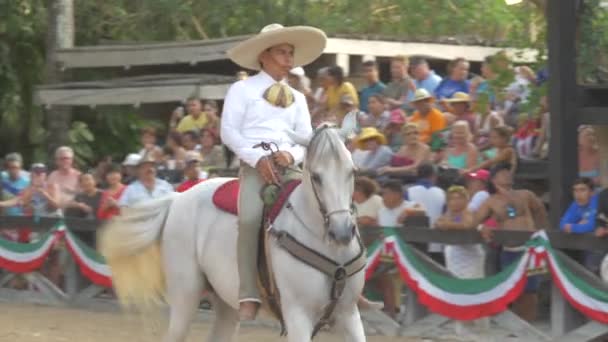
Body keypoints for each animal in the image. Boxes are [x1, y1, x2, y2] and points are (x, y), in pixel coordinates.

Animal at [99, 125, 366, 342]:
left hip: (226, 304)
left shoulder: (349, 314)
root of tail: (178, 198)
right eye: (316, 176)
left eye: (352, 171)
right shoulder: (298, 314)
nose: (342, 232)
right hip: (185, 295)